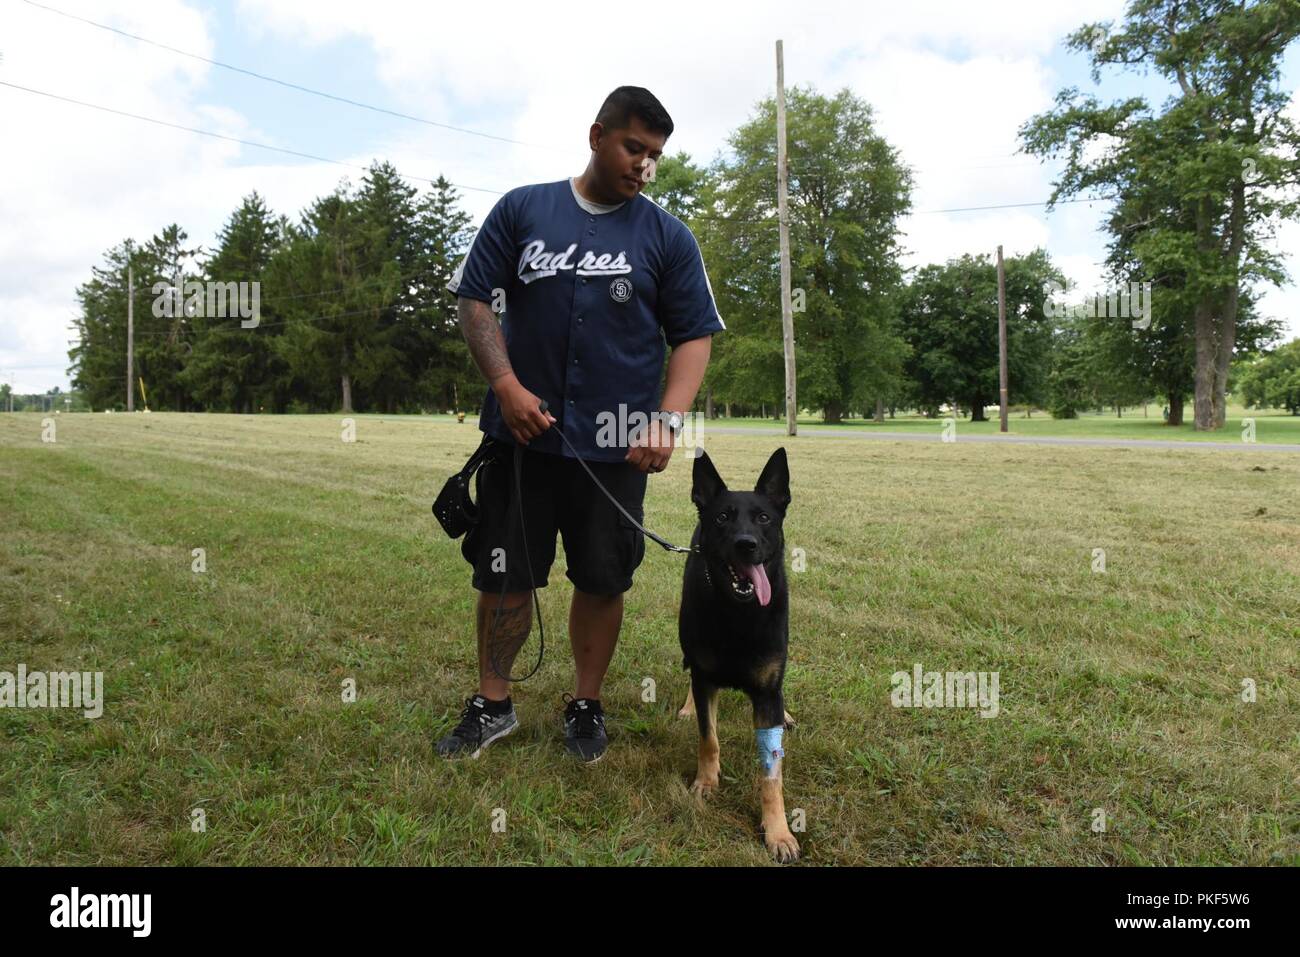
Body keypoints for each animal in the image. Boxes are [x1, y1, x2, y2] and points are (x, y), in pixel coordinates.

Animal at [676, 447, 795, 858]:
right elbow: (708, 738)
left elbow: (772, 775)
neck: (739, 613)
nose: (746, 544)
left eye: (764, 518)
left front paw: (778, 831)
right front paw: (706, 783)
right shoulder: (705, 677)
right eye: (723, 518)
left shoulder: (768, 691)